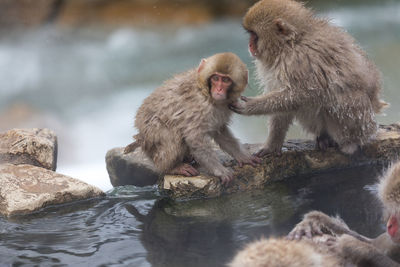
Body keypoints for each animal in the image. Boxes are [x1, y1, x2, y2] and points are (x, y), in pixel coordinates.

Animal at [126, 52, 262, 186]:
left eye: (225, 80)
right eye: (215, 78)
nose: (218, 89)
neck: (207, 93)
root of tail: (141, 136)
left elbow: (220, 132)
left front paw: (242, 156)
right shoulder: (199, 107)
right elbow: (196, 139)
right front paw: (220, 170)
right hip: (152, 137)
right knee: (172, 134)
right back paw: (171, 167)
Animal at [231, 0, 388, 157]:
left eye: (254, 35)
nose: (250, 45)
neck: (290, 43)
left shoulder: (299, 61)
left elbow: (304, 94)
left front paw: (251, 106)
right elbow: (283, 105)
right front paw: (272, 145)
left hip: (361, 119)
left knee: (335, 97)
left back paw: (350, 144)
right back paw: (324, 137)